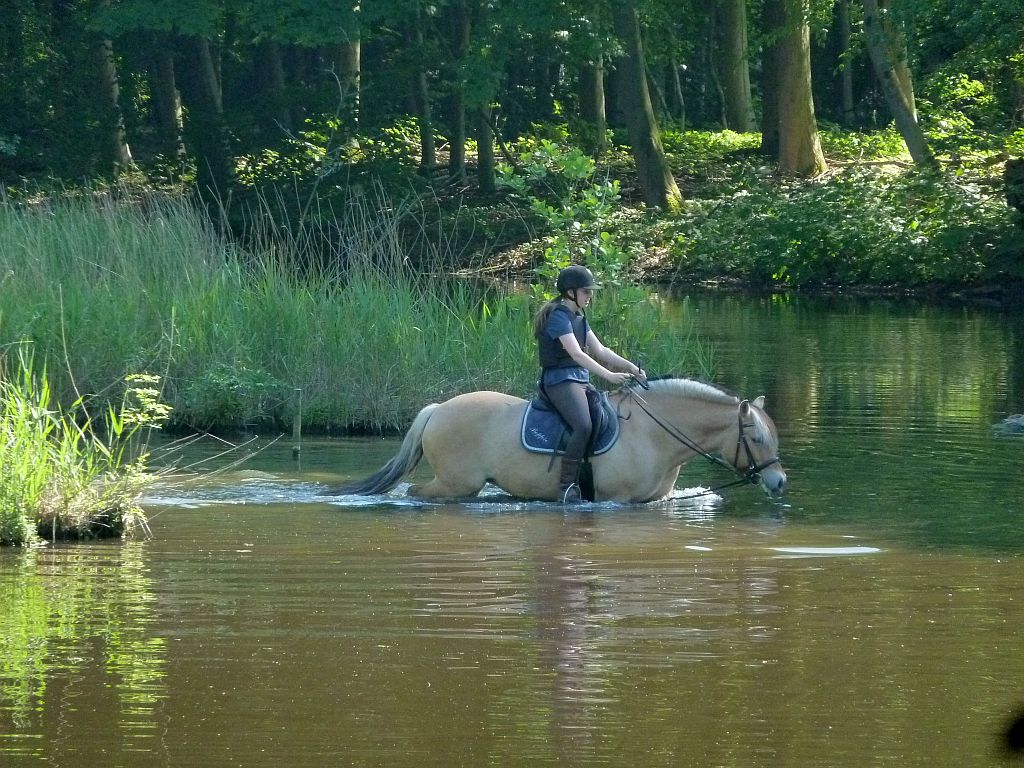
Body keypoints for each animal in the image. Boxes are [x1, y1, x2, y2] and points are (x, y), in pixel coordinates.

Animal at [331, 376, 786, 505]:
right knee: (417, 493)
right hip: (456, 484)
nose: (780, 482)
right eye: (756, 437)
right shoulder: (615, 502)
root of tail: (438, 409)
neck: (654, 434)